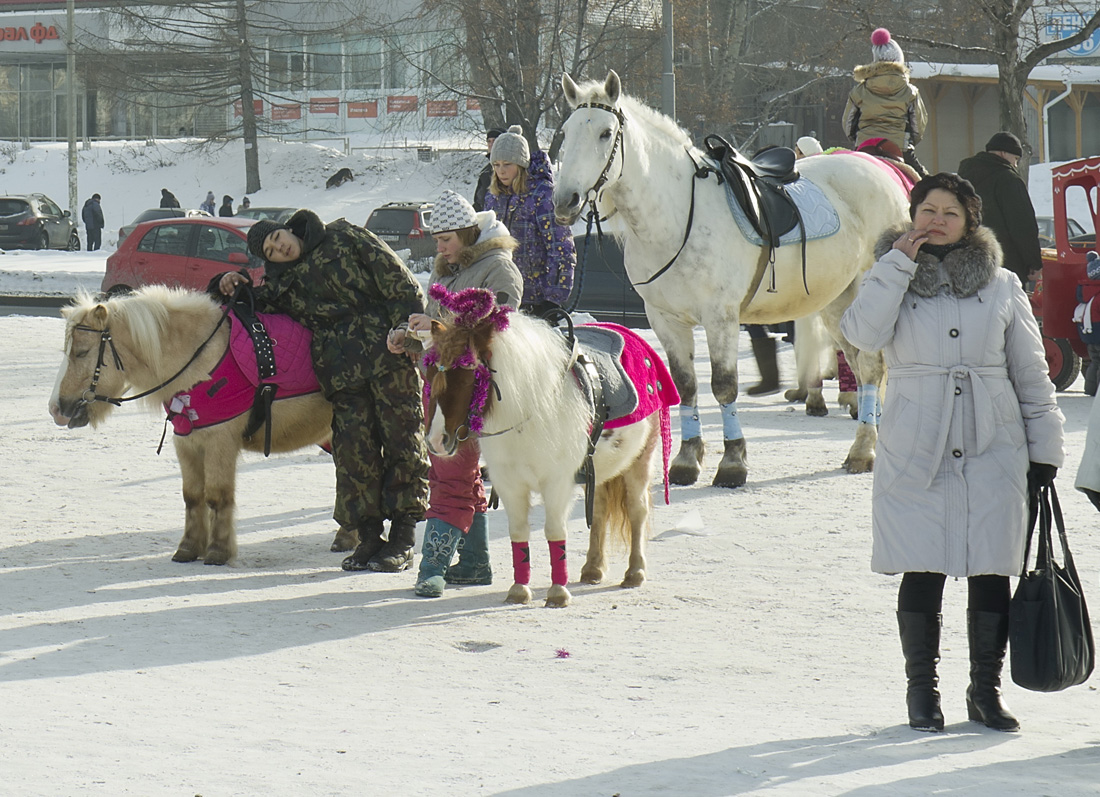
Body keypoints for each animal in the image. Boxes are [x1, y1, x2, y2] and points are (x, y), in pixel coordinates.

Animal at [550, 71, 910, 485]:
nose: (565, 200)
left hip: (865, 294)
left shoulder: (720, 317)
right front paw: (687, 459)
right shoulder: (665, 319)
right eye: (566, 131)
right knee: (860, 363)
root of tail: (884, 171)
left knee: (871, 366)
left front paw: (733, 461)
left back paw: (863, 449)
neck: (675, 217)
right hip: (837, 302)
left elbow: (723, 387)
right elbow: (686, 386)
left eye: (606, 133)